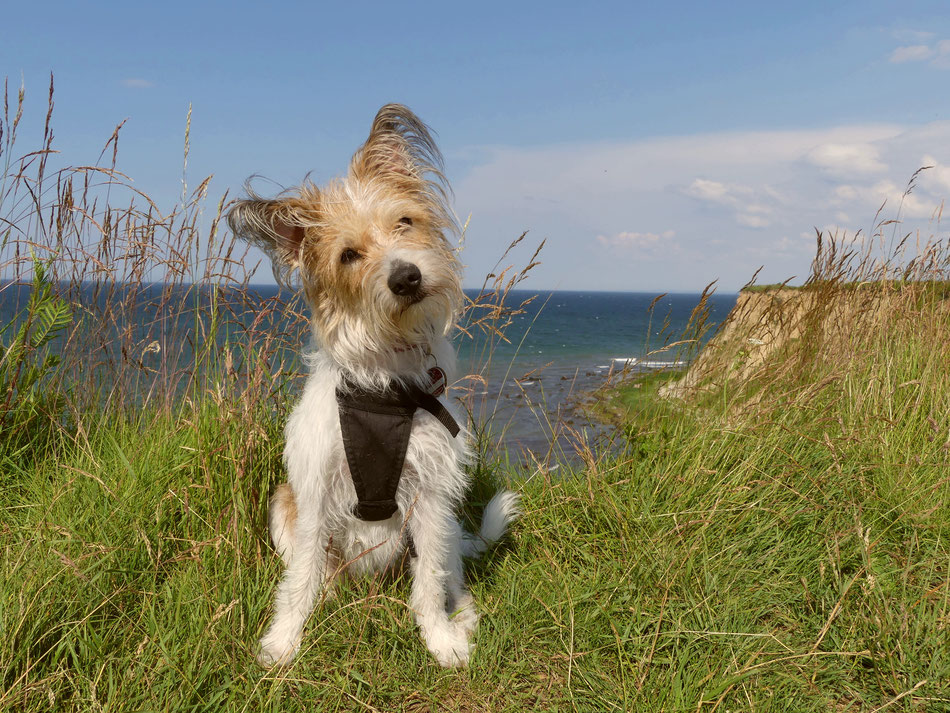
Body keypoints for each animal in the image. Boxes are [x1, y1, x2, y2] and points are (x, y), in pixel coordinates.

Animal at [229, 105, 520, 668]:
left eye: (404, 222)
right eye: (348, 255)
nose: (406, 278)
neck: (386, 381)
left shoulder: (431, 495)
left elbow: (428, 583)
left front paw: (439, 639)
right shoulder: (313, 493)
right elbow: (300, 580)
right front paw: (285, 640)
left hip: (446, 525)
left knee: (450, 573)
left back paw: (462, 616)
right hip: (283, 509)